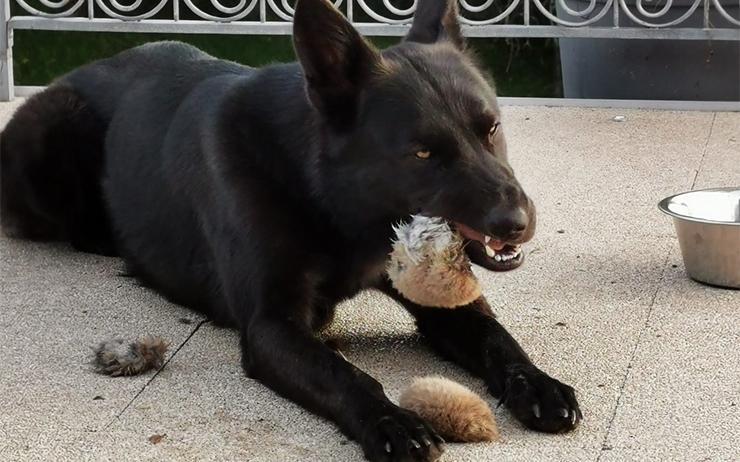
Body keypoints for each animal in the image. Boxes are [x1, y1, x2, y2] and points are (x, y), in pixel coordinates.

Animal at [0, 0, 581, 459]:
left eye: (492, 129)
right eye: (422, 154)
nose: (519, 224)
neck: (327, 197)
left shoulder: (444, 305)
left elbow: (496, 337)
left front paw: (539, 384)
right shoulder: (271, 326)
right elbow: (343, 372)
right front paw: (392, 421)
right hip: (54, 131)